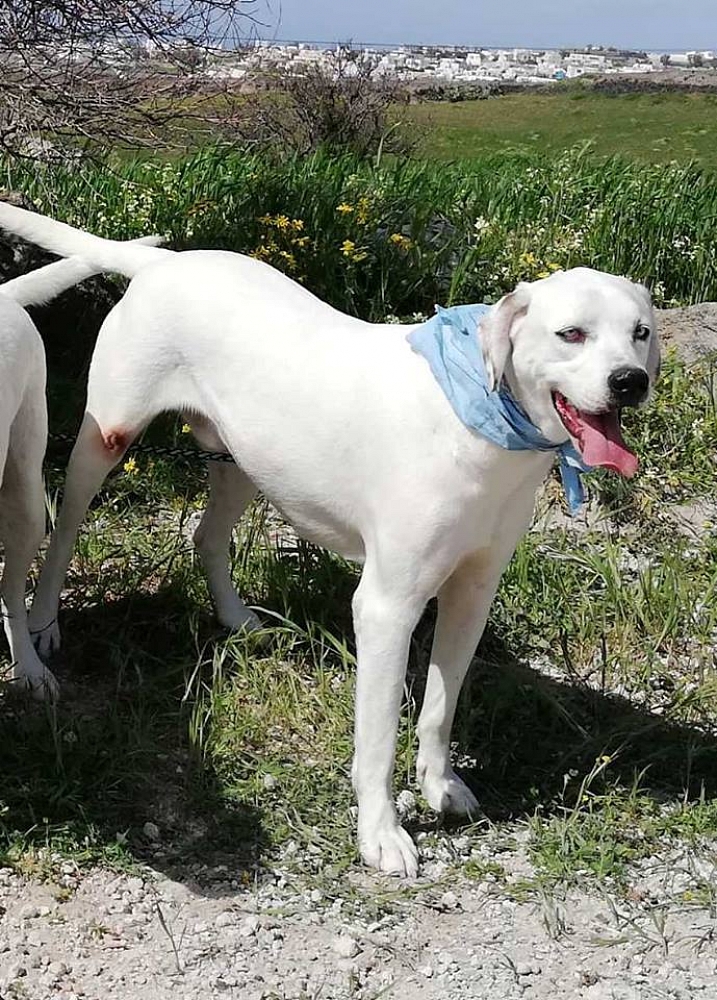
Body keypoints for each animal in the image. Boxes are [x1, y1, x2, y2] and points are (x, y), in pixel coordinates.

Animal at [0, 202, 659, 875]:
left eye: (640, 332)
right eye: (571, 334)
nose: (630, 381)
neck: (478, 420)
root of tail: (166, 262)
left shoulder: (472, 591)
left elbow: (440, 708)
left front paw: (439, 785)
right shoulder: (387, 607)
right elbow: (378, 737)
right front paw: (381, 834)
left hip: (245, 460)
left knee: (207, 538)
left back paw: (238, 620)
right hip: (103, 441)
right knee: (63, 531)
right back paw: (43, 628)